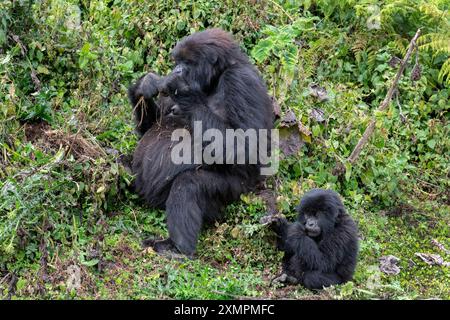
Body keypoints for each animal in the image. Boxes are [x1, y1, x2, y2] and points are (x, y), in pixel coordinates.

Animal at [127, 28, 274, 258]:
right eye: (177, 61)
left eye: (188, 62)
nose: (177, 69)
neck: (216, 77)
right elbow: (149, 127)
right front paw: (144, 84)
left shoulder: (241, 81)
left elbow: (247, 145)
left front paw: (183, 92)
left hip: (236, 191)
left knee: (188, 185)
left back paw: (178, 247)